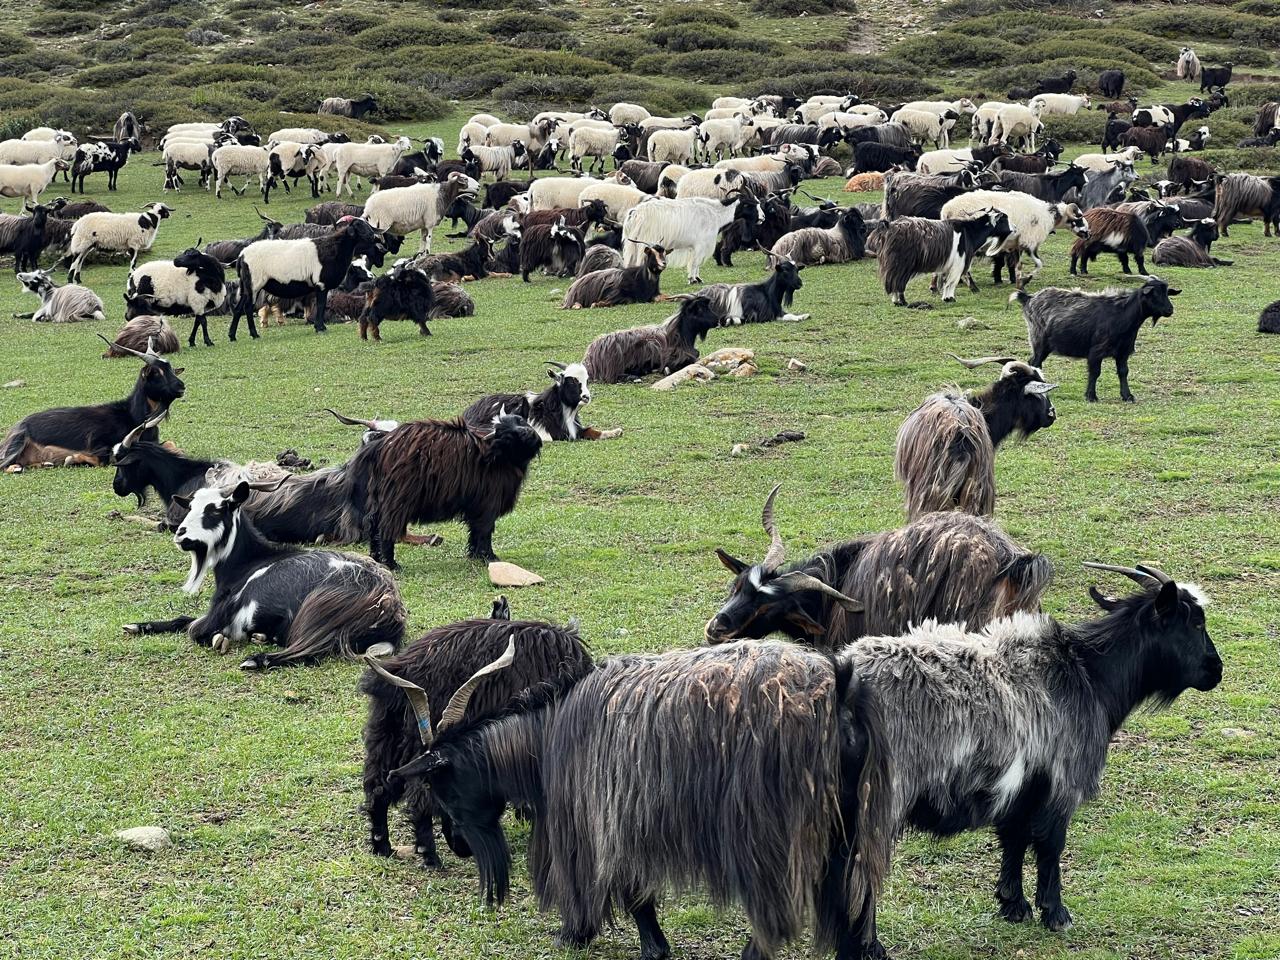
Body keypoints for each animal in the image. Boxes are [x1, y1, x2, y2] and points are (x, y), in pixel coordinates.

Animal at [1019, 277, 1180, 401]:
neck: (1122, 315)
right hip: (1039, 341)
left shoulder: (1123, 352)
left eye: (1167, 293)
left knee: (1033, 362)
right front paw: (1091, 396)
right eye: (1154, 294)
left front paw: (1127, 396)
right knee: (1035, 362)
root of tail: (1029, 298)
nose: (1170, 310)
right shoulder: (1096, 351)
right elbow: (1095, 372)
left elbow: (1123, 372)